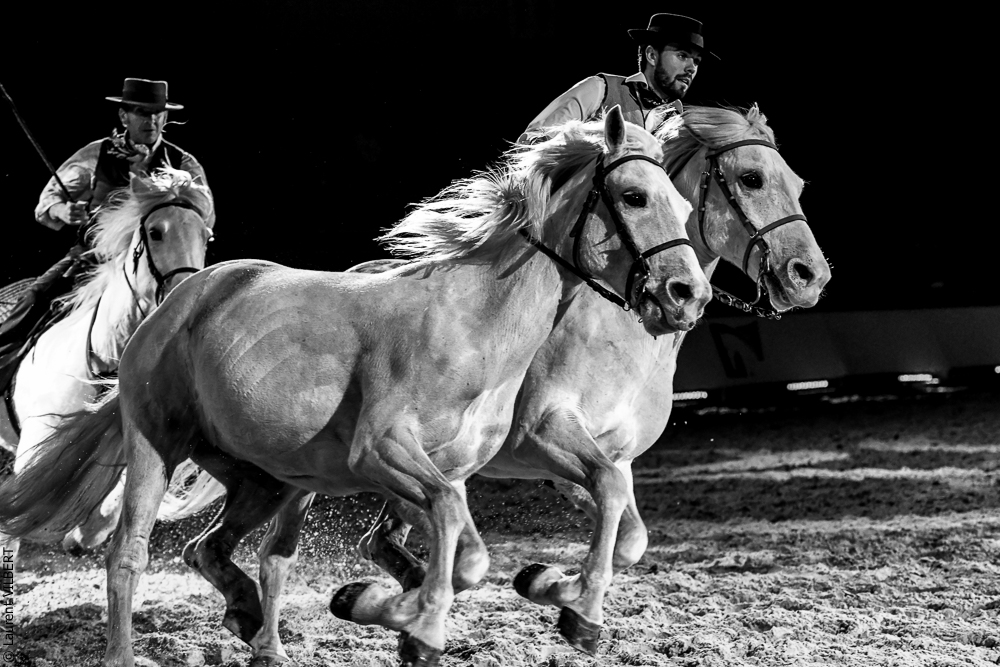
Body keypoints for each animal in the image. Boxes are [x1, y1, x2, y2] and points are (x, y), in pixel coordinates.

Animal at [0, 168, 215, 556]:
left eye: (205, 236)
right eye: (155, 231)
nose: (189, 289)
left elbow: (105, 514)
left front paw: (78, 537)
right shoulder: (31, 451)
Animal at [222, 103, 832, 663]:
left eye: (797, 183)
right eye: (751, 178)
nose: (810, 275)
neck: (620, 332)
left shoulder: (609, 458)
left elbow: (627, 535)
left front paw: (548, 584)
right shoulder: (547, 436)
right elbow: (611, 509)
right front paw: (571, 606)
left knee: (386, 539)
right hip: (311, 468)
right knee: (283, 551)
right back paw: (287, 632)